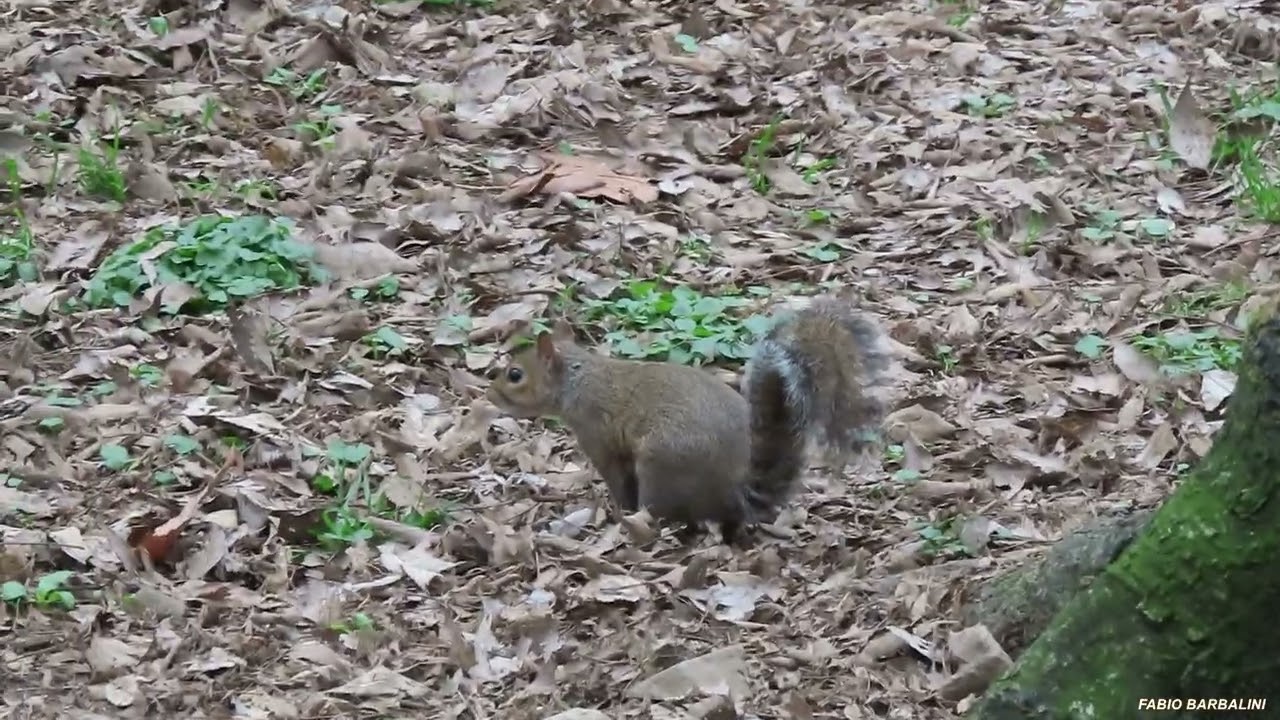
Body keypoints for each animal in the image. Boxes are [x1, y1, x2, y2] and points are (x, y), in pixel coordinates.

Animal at [484, 296, 893, 544]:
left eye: (516, 375)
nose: (489, 394)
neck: (578, 380)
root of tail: (734, 493)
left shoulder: (598, 436)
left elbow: (617, 481)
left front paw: (618, 510)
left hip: (661, 467)